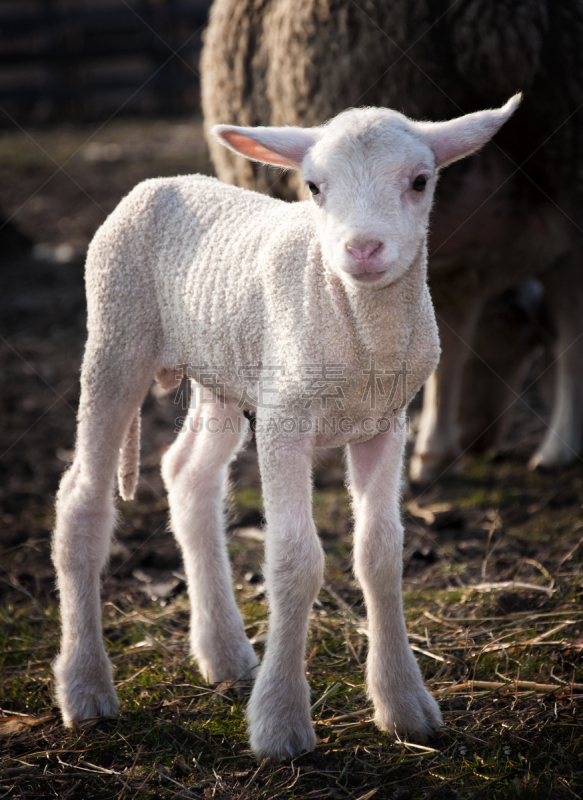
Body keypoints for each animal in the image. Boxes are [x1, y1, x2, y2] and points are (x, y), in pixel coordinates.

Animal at [52, 97, 520, 760]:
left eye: (420, 181)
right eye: (314, 187)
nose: (363, 249)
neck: (359, 333)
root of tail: (159, 182)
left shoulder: (386, 422)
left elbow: (381, 554)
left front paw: (406, 707)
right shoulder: (284, 424)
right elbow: (294, 561)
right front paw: (280, 724)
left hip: (223, 369)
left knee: (187, 474)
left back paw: (224, 653)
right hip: (117, 333)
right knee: (82, 498)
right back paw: (86, 689)